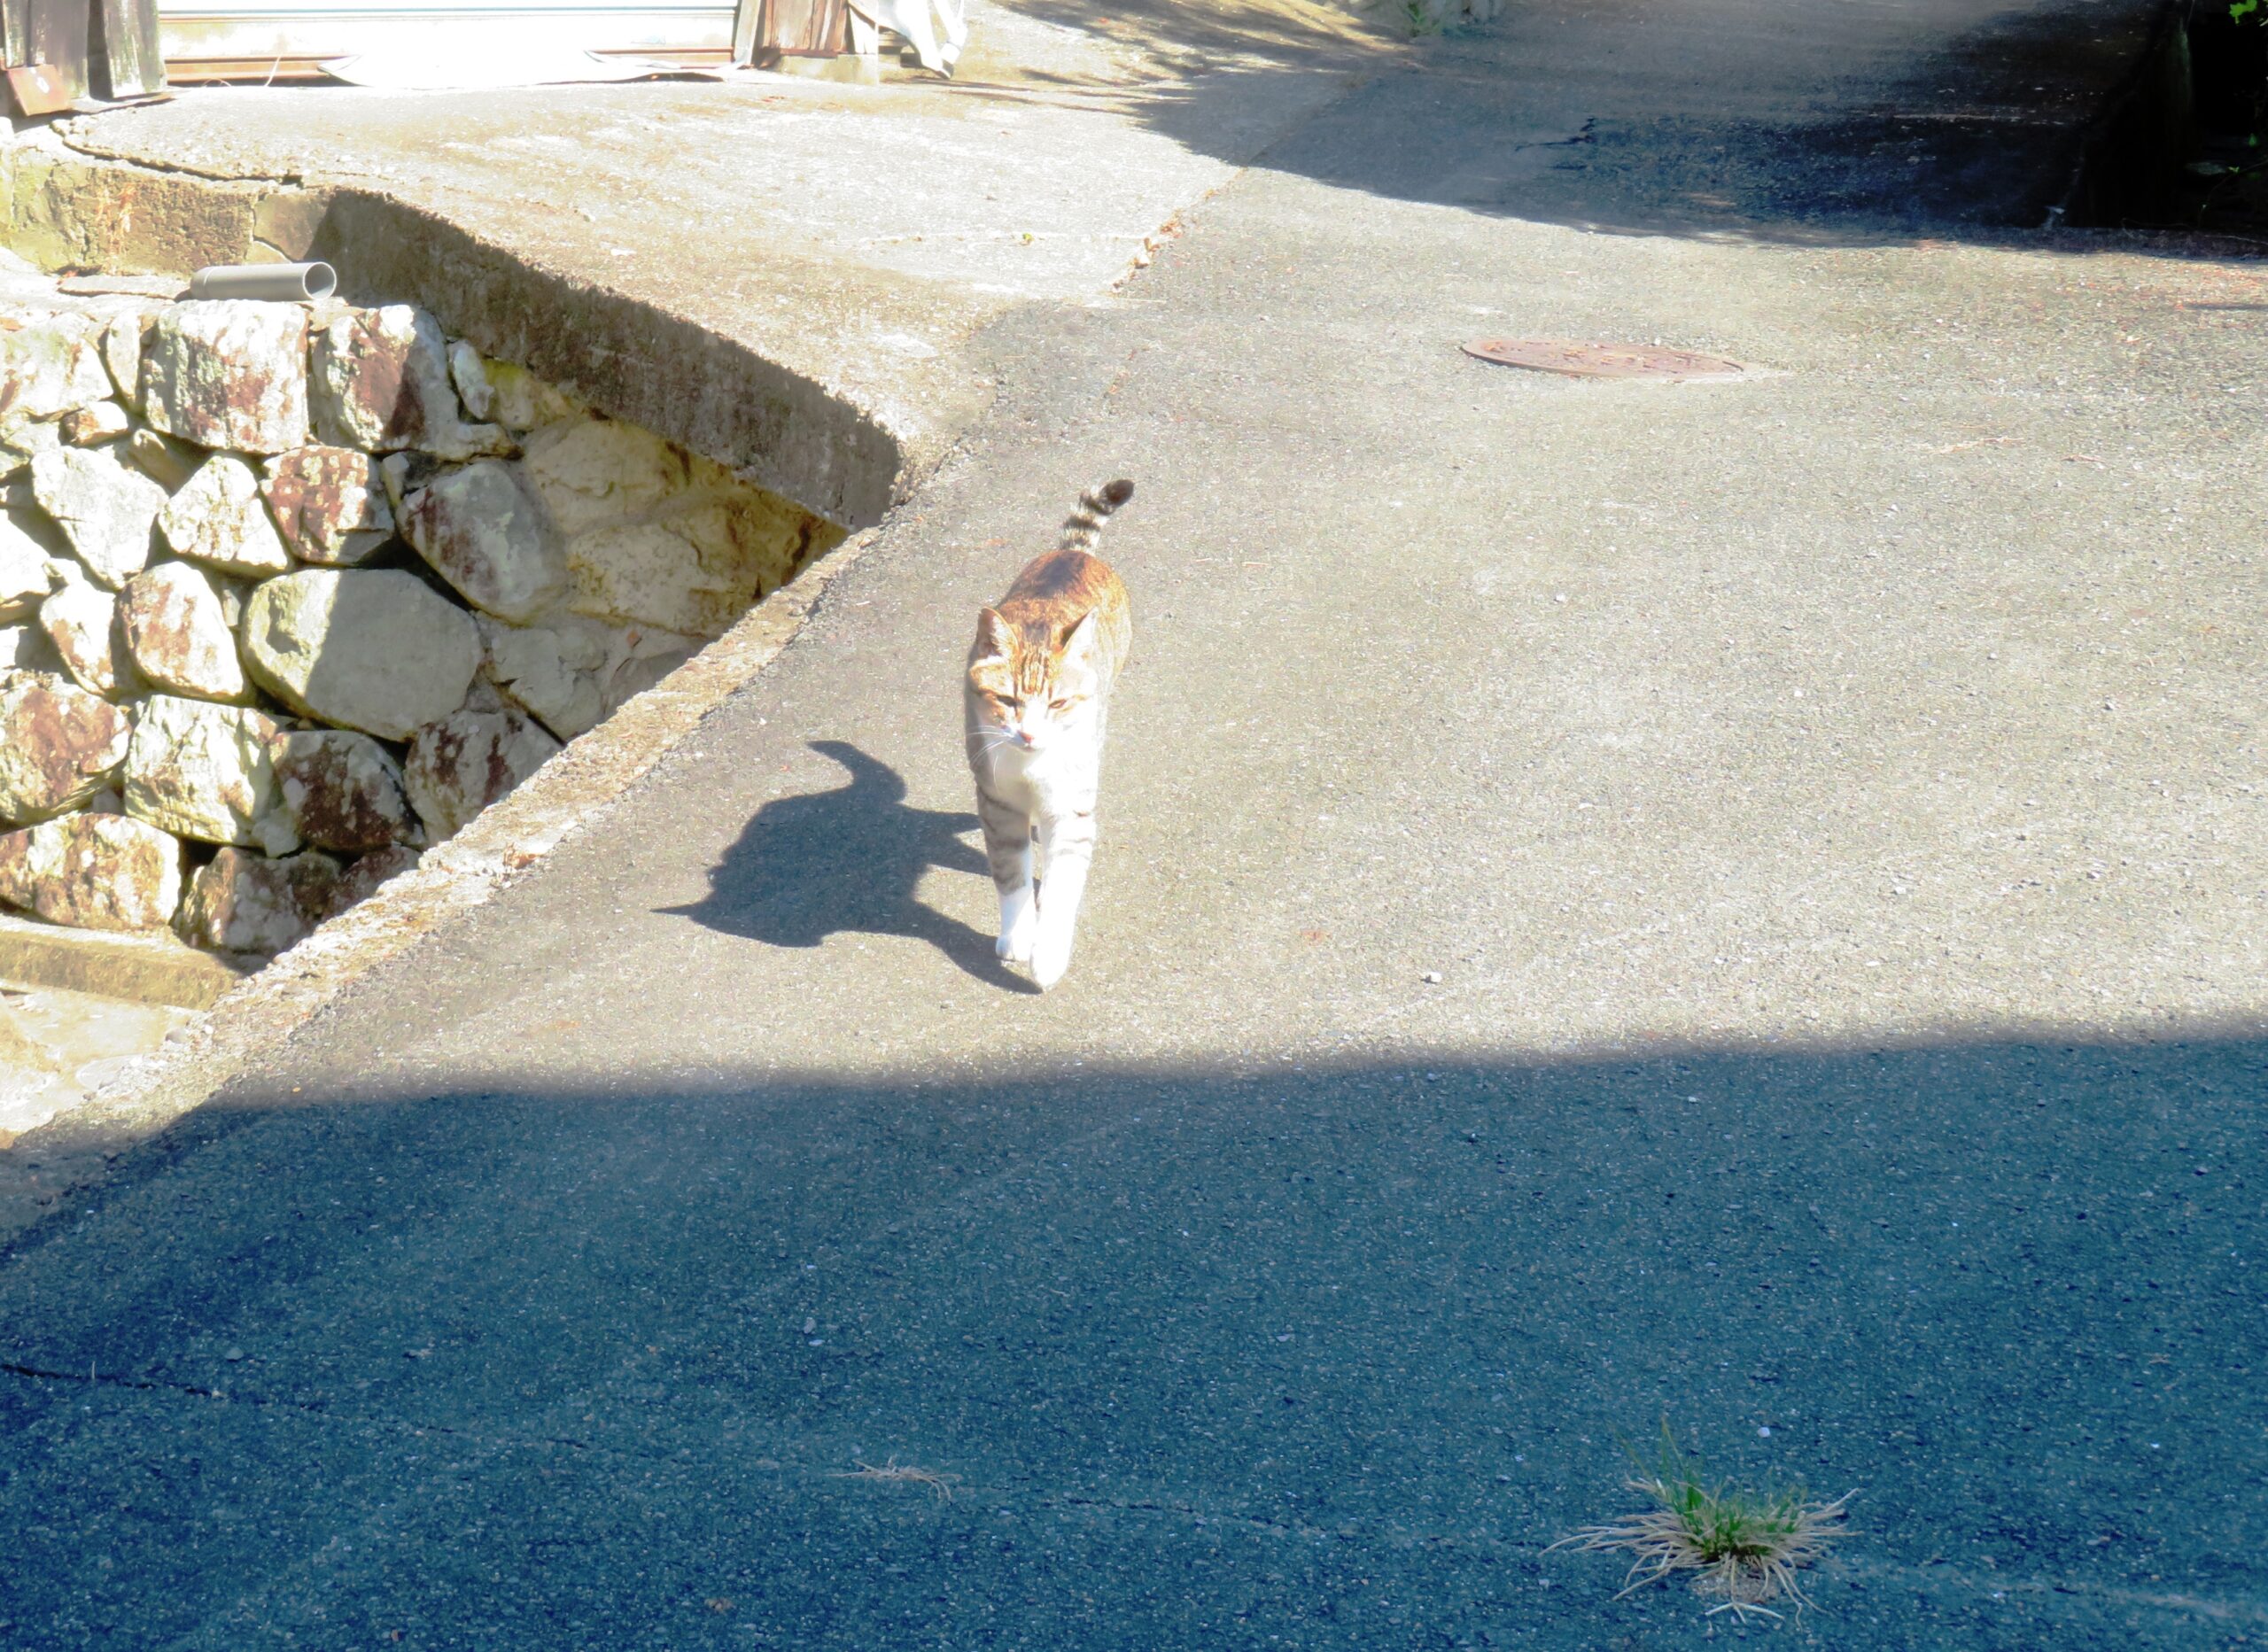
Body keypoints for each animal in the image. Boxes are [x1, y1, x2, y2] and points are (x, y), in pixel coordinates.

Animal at [961, 480, 1134, 992]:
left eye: (1056, 704)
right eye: (1008, 701)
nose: (1029, 734)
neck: (1031, 768)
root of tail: (1070, 553)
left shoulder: (1072, 809)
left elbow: (1060, 891)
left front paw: (1048, 956)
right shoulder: (996, 802)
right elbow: (1009, 874)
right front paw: (1017, 936)